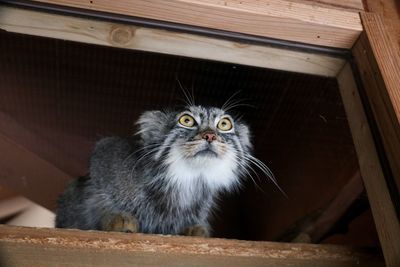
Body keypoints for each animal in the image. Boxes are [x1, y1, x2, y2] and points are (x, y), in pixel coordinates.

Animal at [54, 104, 276, 237]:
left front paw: (195, 228)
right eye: (186, 120)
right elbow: (100, 197)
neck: (184, 180)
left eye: (224, 124)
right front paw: (116, 216)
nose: (210, 136)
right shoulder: (104, 152)